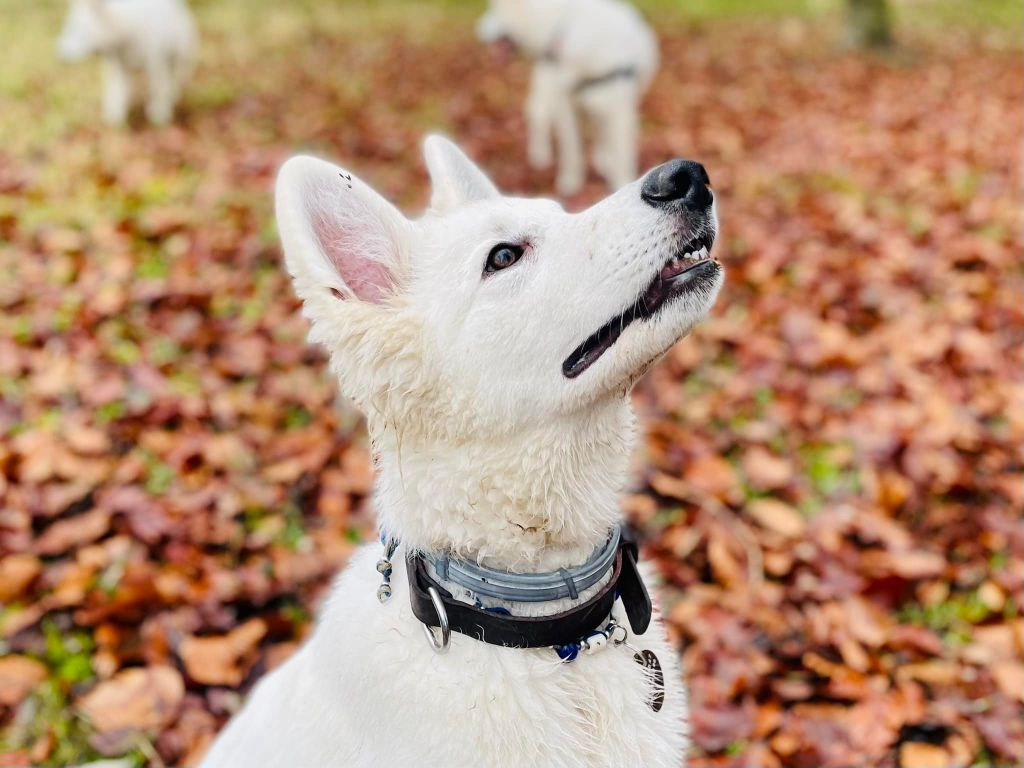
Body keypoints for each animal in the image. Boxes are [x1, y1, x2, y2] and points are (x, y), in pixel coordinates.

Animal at [56, 0, 197, 126]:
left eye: (75, 29)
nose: (60, 54)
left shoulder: (155, 62)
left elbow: (158, 89)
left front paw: (159, 115)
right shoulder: (118, 66)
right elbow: (117, 91)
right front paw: (115, 117)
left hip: (180, 54)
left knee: (177, 76)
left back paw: (173, 94)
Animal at [477, 0, 659, 195]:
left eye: (492, 12)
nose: (478, 31)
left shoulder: (619, 111)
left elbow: (622, 156)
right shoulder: (565, 103)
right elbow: (572, 148)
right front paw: (571, 181)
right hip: (549, 85)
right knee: (539, 113)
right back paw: (541, 155)